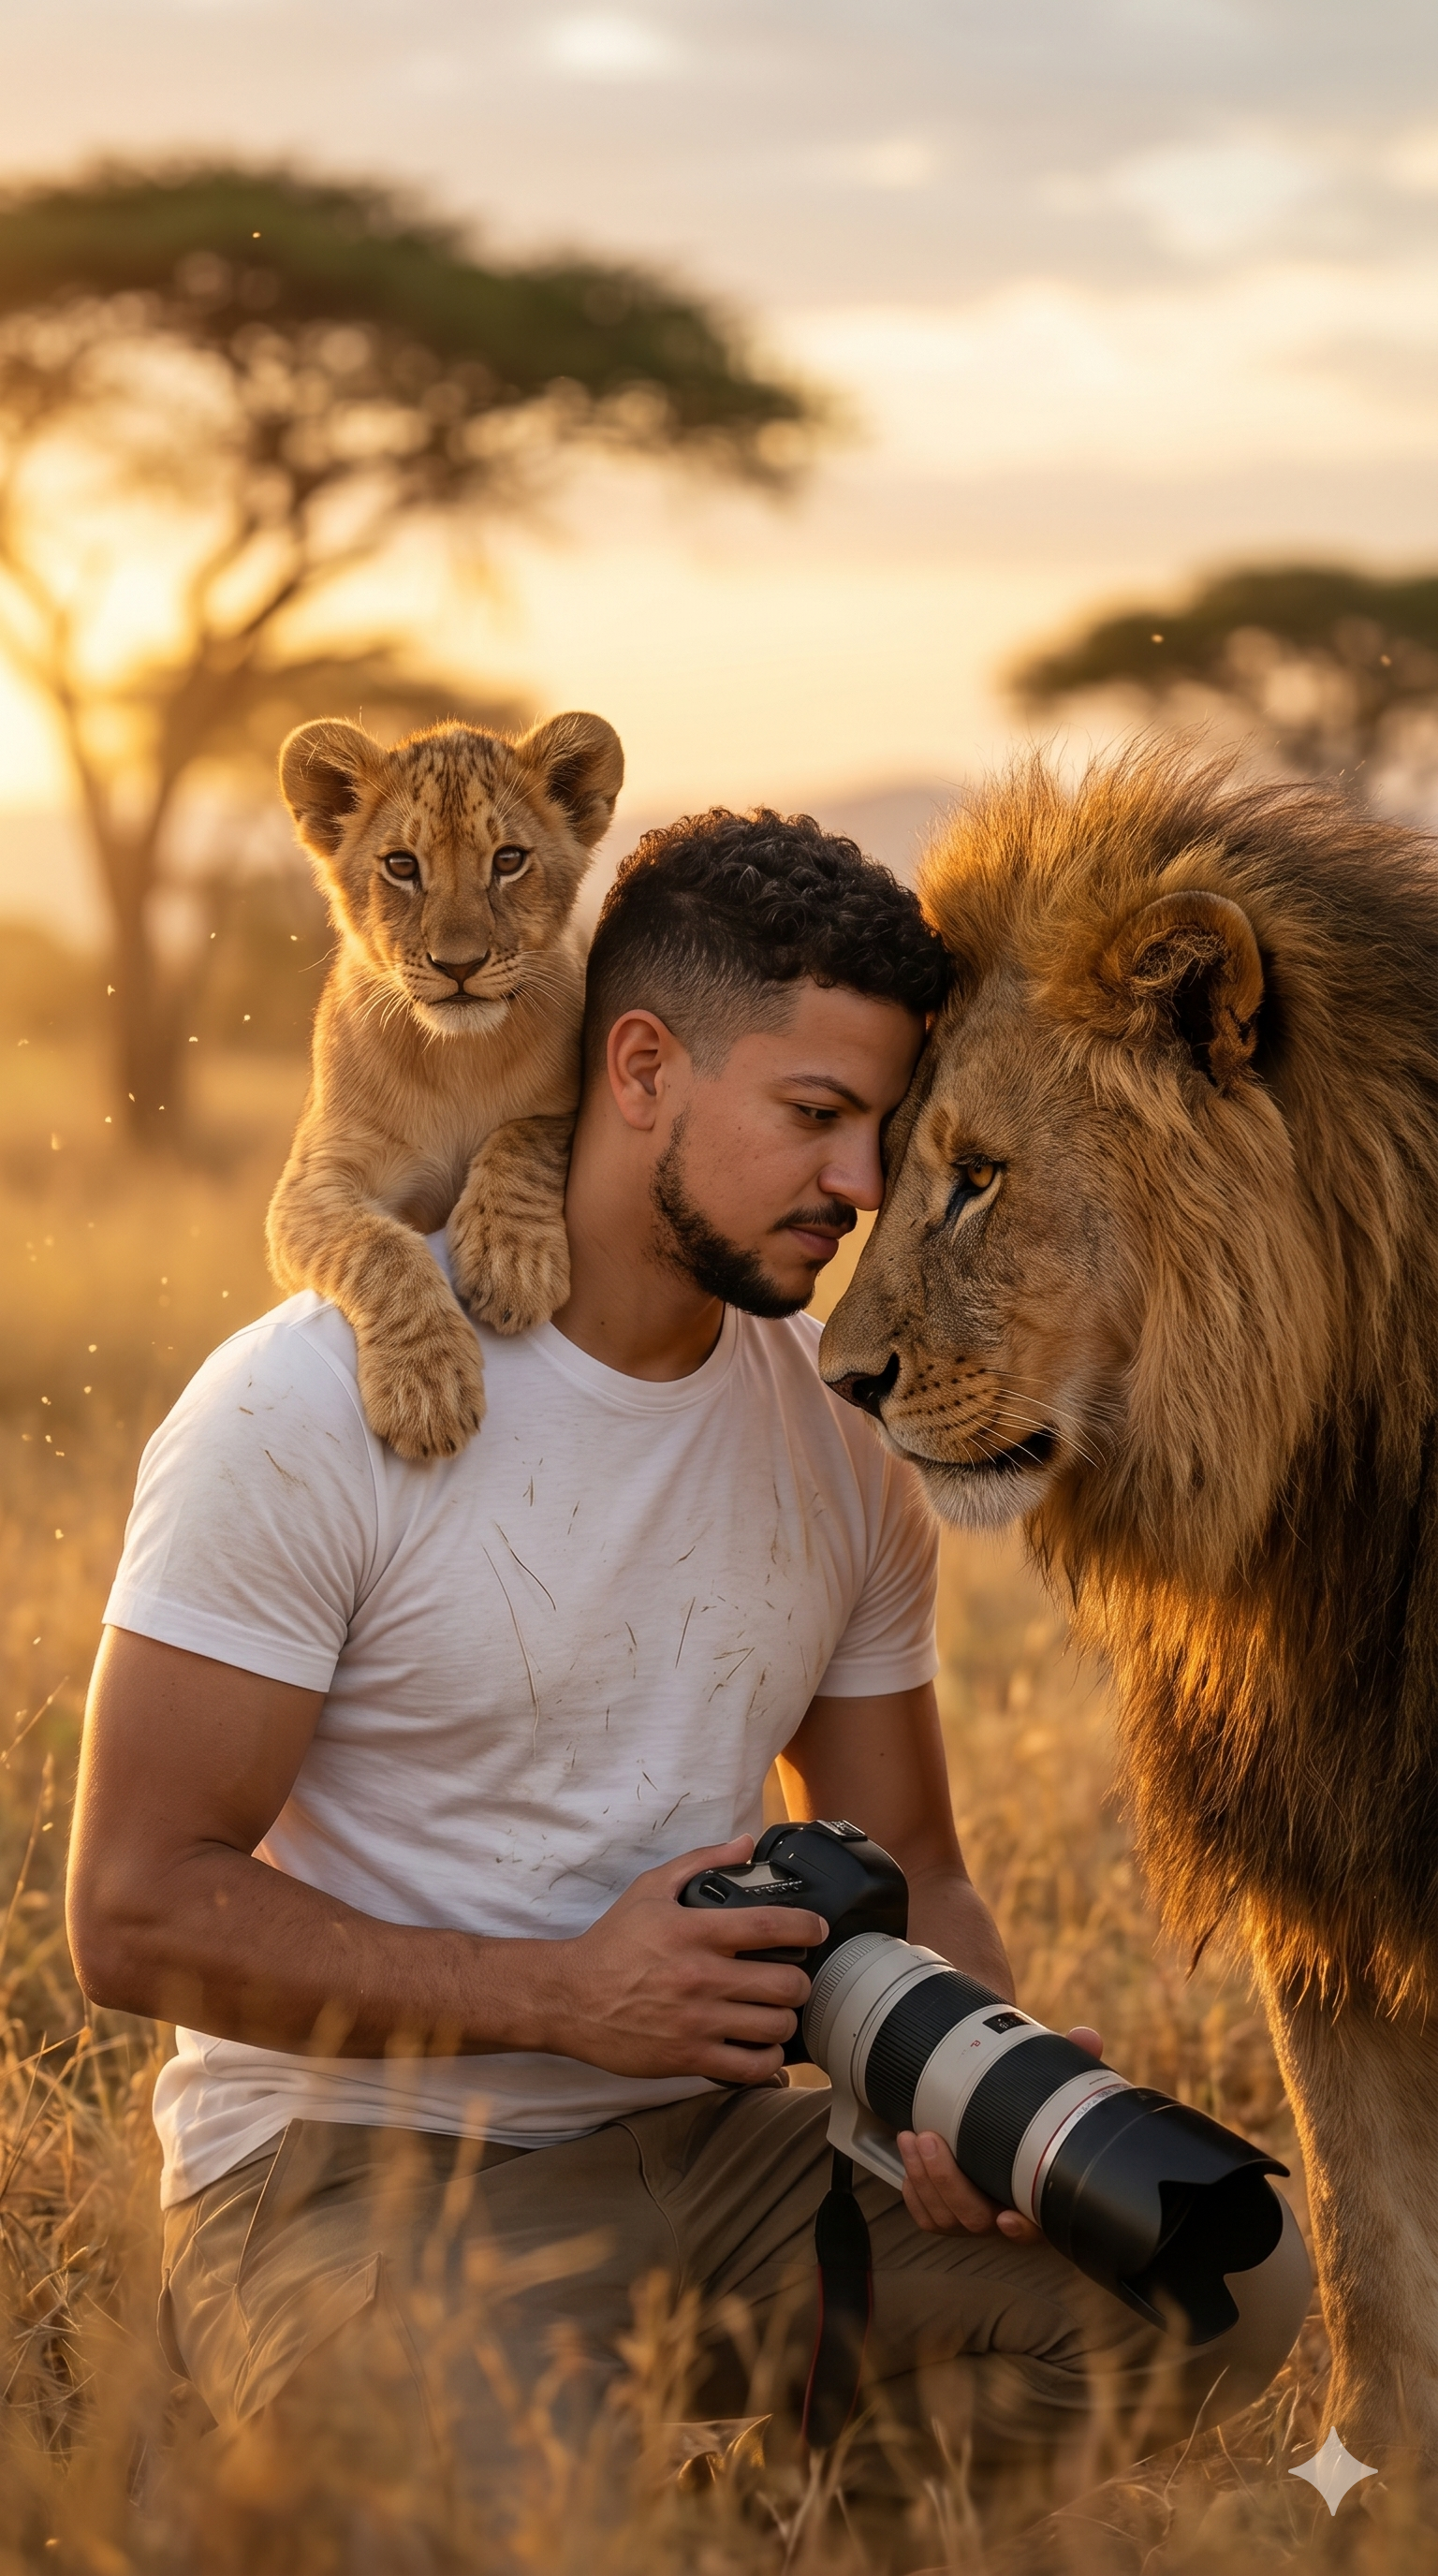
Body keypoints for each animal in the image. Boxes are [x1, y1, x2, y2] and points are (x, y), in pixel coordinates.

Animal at [268, 710, 623, 1460]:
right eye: (402, 866)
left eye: (508, 861)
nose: (458, 965)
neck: (459, 1060)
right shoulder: (307, 1186)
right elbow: (378, 1247)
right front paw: (426, 1391)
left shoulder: (580, 1104)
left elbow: (527, 1132)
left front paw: (513, 1264)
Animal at [820, 748, 1438, 2468]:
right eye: (874, 1174)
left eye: (976, 1179)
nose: (839, 1380)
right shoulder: (1318, 1851)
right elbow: (1365, 2244)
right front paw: (1377, 2480)